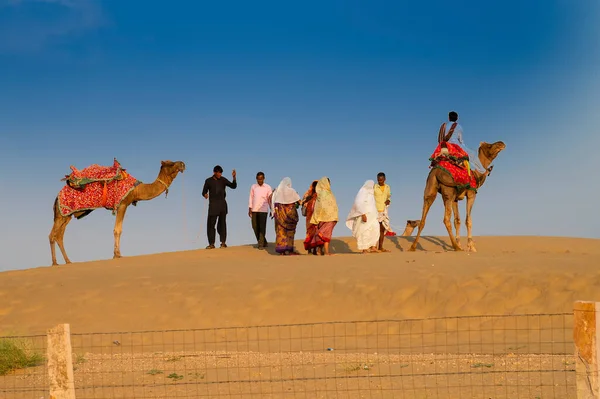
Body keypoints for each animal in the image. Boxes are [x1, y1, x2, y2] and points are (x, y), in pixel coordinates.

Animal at [48, 159, 185, 266]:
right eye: (170, 163)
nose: (183, 164)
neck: (136, 189)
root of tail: (56, 198)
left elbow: (118, 229)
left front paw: (117, 253)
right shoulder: (122, 204)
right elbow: (117, 230)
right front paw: (117, 255)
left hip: (66, 215)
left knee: (59, 235)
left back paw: (68, 261)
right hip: (61, 213)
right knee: (52, 235)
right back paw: (54, 263)